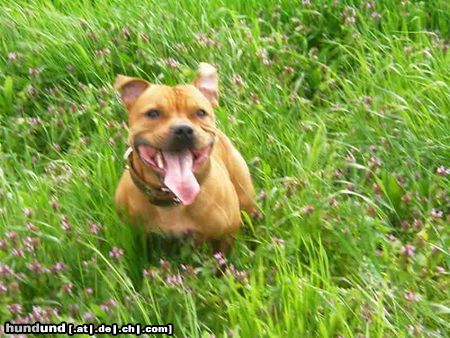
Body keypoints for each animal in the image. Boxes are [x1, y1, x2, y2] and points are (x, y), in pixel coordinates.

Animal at [114, 63, 255, 252]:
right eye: (153, 113)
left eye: (200, 113)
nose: (183, 129)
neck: (172, 199)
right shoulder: (135, 235)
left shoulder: (225, 237)